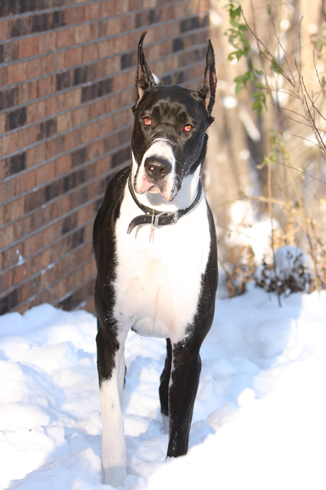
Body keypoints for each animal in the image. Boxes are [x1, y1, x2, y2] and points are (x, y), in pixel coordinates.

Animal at [93, 32, 218, 488]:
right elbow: (112, 415)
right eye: (146, 120)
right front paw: (114, 475)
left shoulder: (188, 344)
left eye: (188, 127)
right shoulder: (109, 335)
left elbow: (180, 428)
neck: (157, 224)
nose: (157, 166)